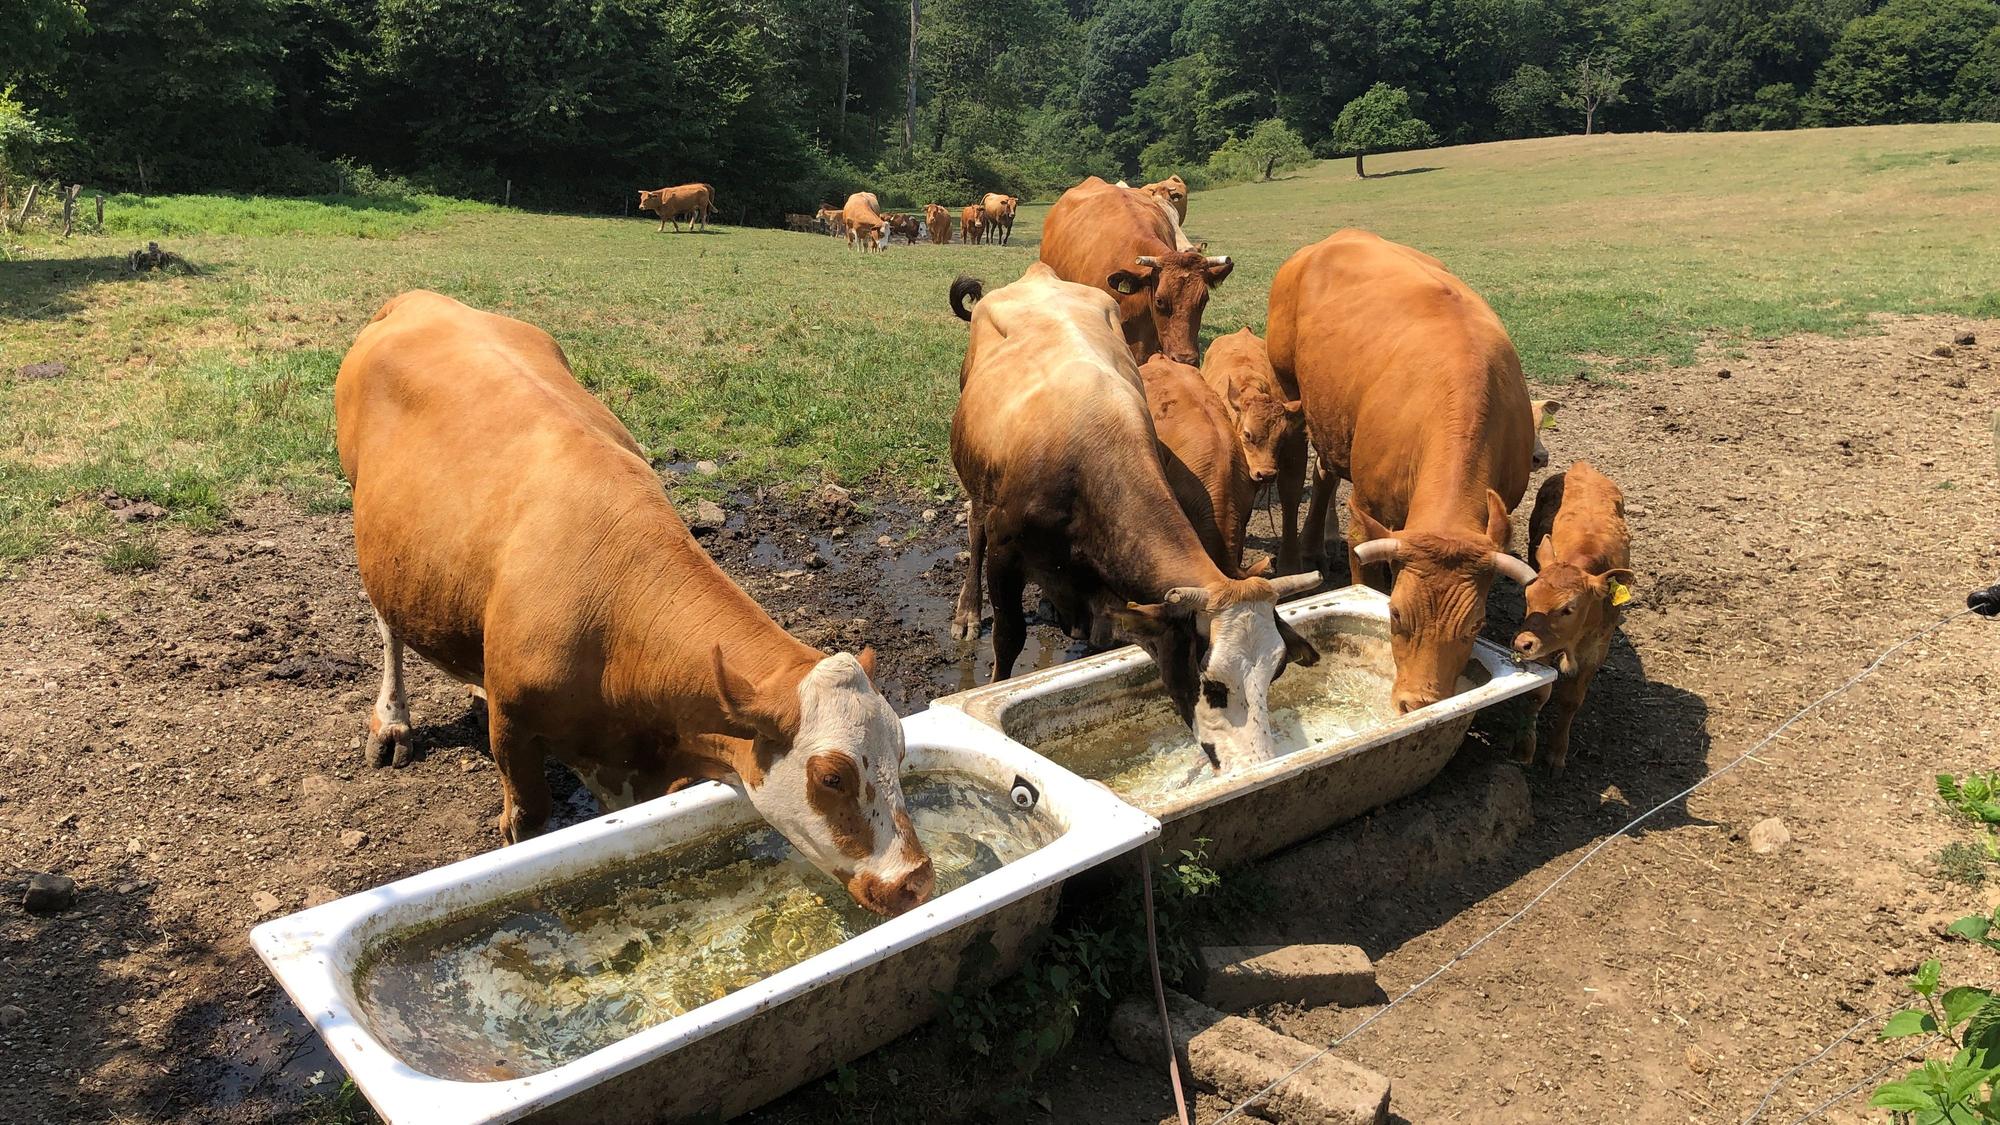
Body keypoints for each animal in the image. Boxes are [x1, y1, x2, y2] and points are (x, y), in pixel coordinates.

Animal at [335, 290, 934, 917]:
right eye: (833, 778)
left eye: (900, 753)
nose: (916, 881)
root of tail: (420, 299)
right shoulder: (516, 731)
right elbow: (527, 822)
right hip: (366, 517)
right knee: (388, 628)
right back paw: (391, 723)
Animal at [1266, 229, 1539, 715]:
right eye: (1394, 613)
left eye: (1476, 625)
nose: (1418, 702)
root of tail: (1335, 238)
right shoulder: (1367, 515)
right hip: (1288, 391)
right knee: (1295, 475)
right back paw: (1295, 558)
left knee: (1324, 472)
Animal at [1512, 462, 1634, 772]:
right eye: (1528, 597)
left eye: (1568, 608)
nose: (1521, 643)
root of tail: (1583, 466)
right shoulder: (1543, 647)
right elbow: (1538, 693)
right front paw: (1524, 749)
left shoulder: (1595, 651)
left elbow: (1571, 700)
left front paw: (1557, 753)